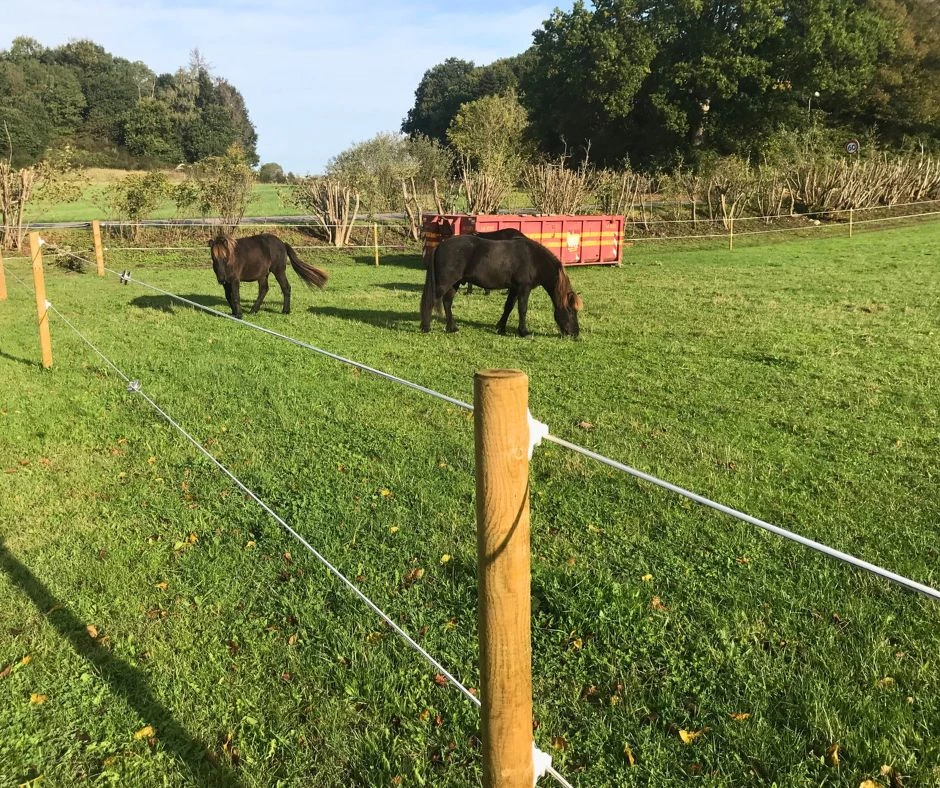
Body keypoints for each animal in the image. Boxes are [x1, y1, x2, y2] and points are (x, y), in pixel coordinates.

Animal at [420, 231, 580, 336]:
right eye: (571, 311)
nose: (575, 333)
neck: (534, 259)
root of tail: (440, 246)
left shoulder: (514, 289)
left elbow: (508, 307)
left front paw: (501, 328)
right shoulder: (524, 288)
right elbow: (522, 309)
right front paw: (523, 332)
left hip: (455, 283)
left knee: (447, 302)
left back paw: (452, 328)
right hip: (444, 283)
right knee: (431, 301)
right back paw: (425, 327)